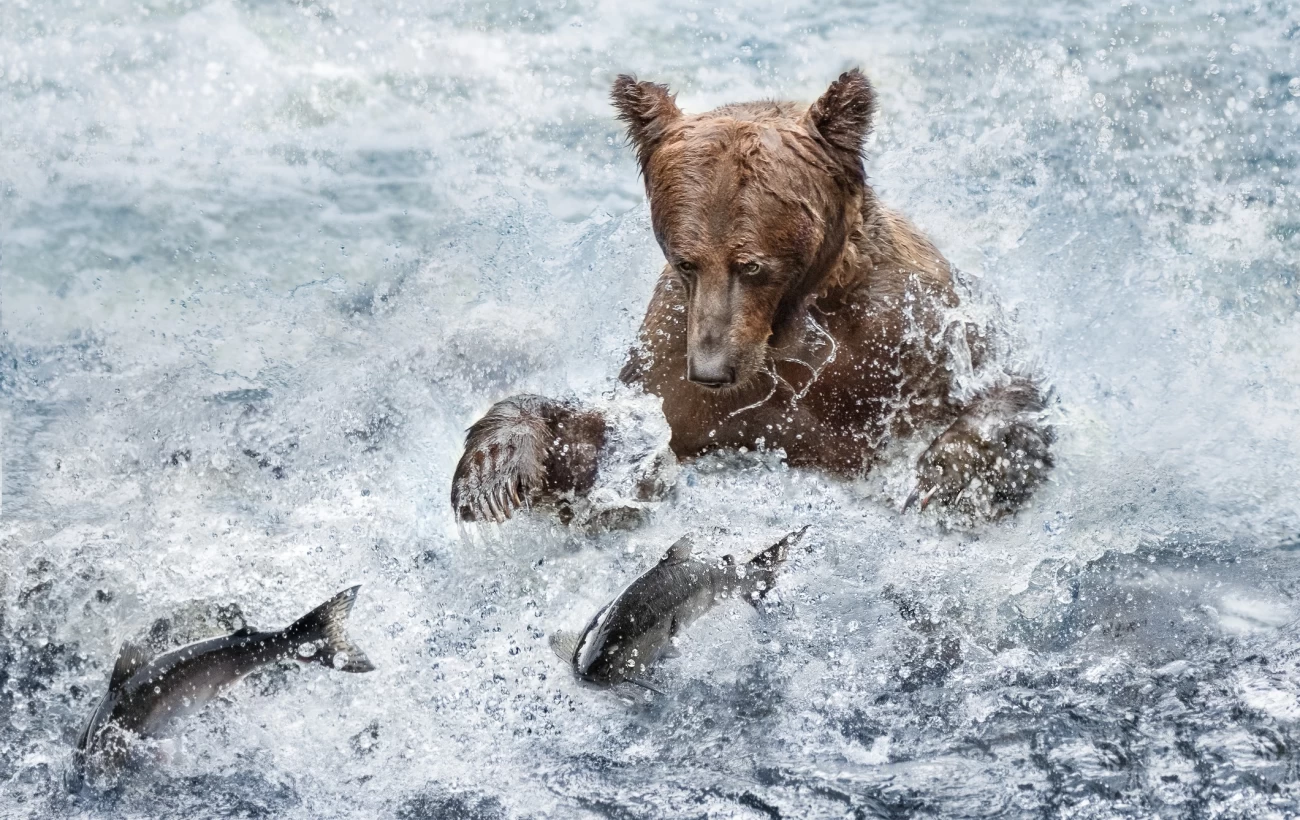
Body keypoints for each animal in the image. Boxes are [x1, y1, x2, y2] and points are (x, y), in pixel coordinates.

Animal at [450, 69, 1053, 524]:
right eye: (685, 260)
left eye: (753, 264)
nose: (712, 369)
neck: (787, 332)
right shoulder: (675, 358)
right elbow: (618, 438)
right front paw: (493, 469)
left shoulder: (913, 334)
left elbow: (1005, 397)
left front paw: (948, 477)